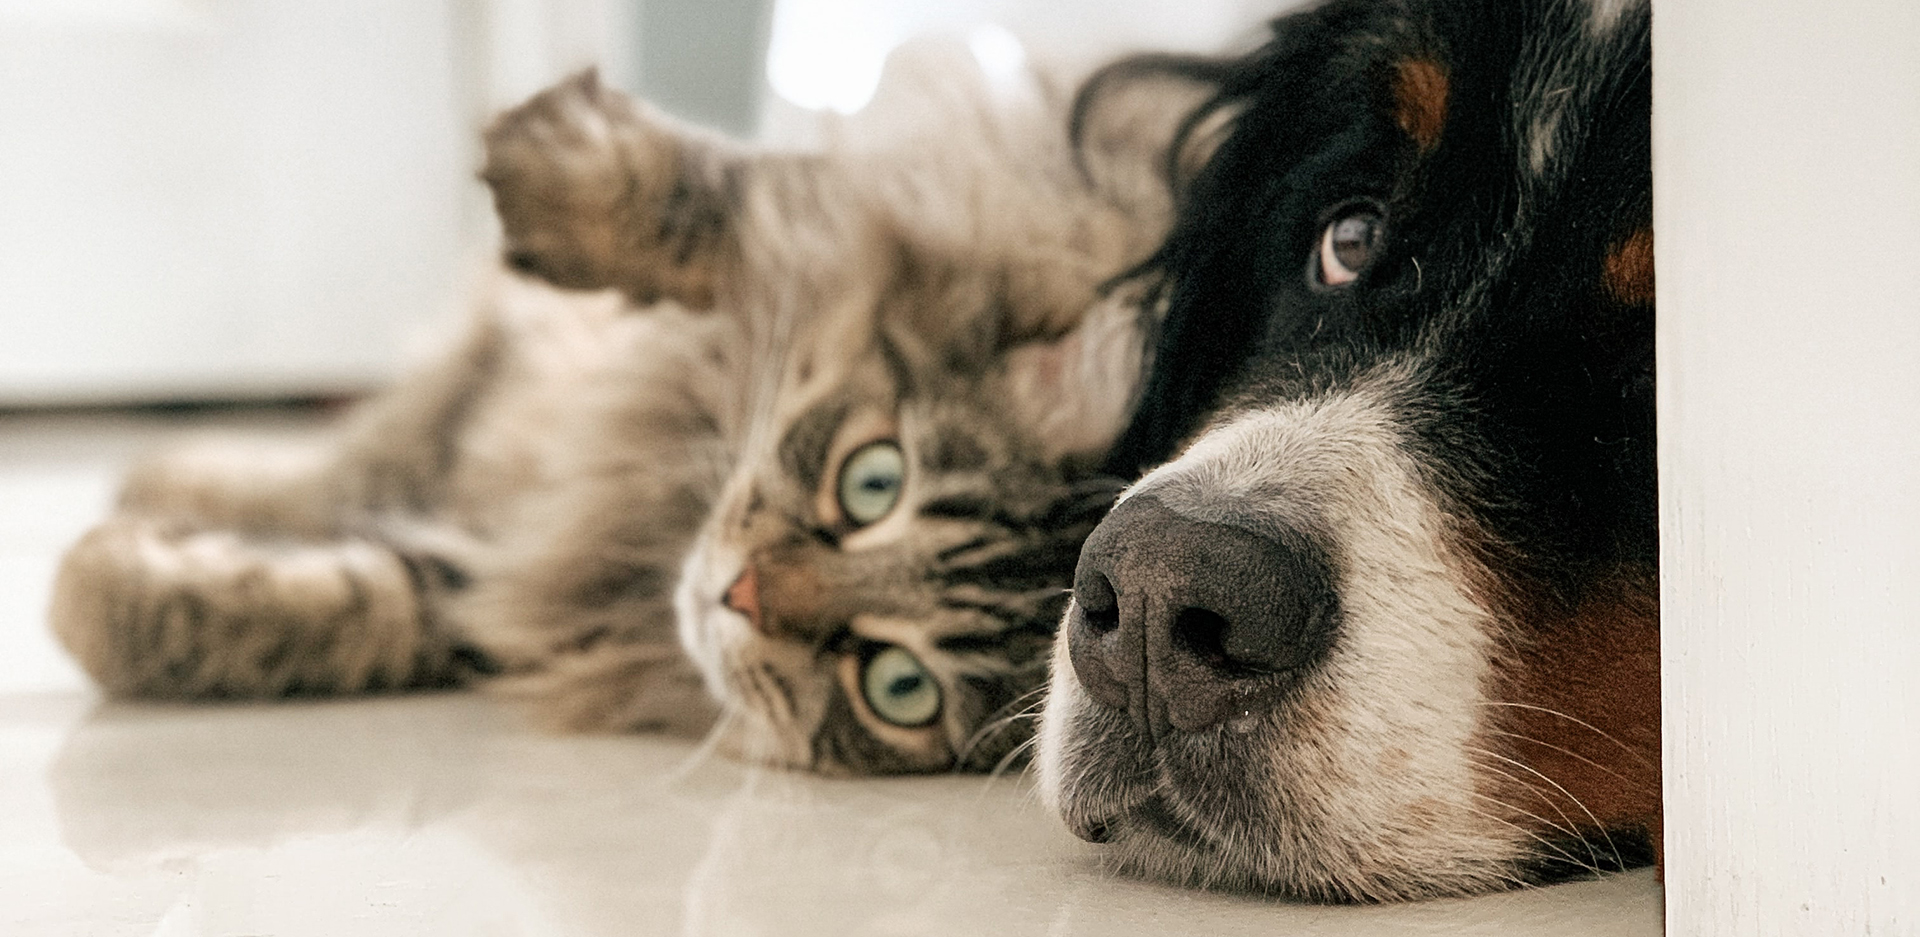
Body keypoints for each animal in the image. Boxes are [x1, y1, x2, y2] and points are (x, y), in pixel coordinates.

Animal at [51, 44, 1186, 774]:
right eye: (874, 482)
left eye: (897, 685)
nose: (739, 596)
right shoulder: (933, 201)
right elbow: (727, 202)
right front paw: (552, 163)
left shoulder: (502, 590)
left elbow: (345, 604)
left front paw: (95, 588)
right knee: (351, 455)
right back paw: (168, 471)